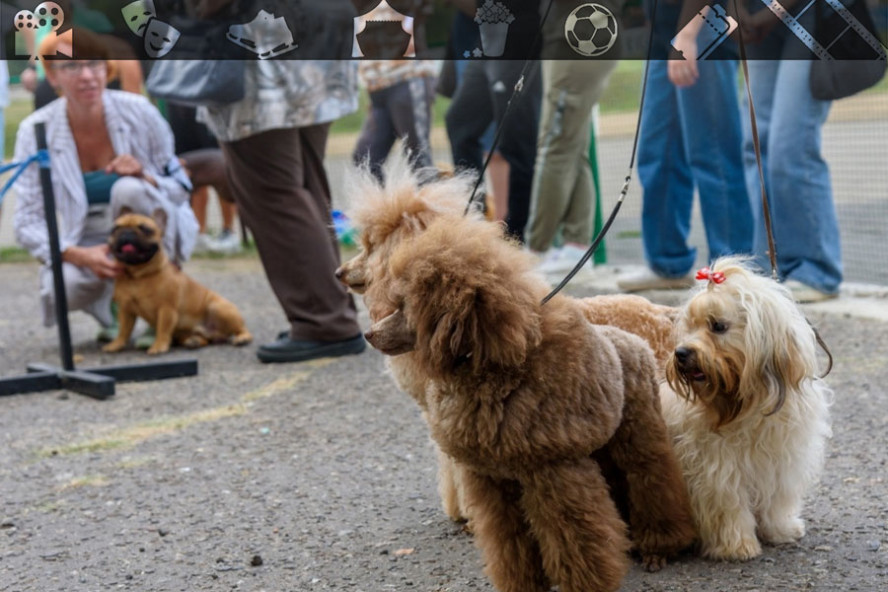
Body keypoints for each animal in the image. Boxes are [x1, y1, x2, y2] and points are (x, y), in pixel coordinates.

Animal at [102, 209, 251, 354]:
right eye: (115, 229)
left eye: (145, 229)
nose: (126, 232)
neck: (137, 275)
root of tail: (216, 334)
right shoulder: (126, 310)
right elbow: (123, 330)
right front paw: (116, 344)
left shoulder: (167, 309)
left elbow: (162, 329)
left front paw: (159, 346)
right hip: (188, 332)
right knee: (204, 339)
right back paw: (194, 341)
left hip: (217, 308)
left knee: (242, 329)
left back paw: (242, 338)